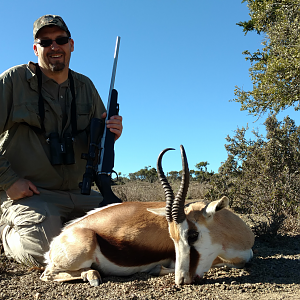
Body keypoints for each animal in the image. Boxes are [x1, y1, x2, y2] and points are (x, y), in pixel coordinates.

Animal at [39, 145, 254, 286]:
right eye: (173, 238)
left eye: (193, 235)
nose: (181, 280)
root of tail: (62, 235)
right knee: (47, 275)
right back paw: (93, 276)